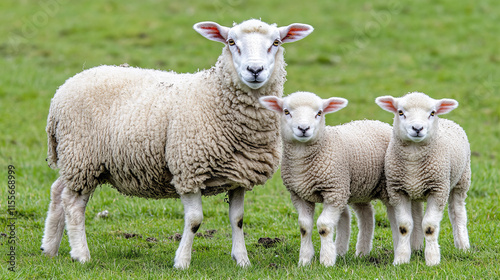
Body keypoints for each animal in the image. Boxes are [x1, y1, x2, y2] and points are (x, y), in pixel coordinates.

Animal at [41, 19, 312, 270]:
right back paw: (81, 254)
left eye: (276, 42)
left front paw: (242, 260)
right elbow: (194, 220)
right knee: (73, 204)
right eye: (231, 42)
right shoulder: (188, 169)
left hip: (75, 159)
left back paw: (50, 248)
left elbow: (238, 219)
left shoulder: (239, 174)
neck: (215, 97)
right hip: (82, 156)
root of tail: (60, 92)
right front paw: (182, 261)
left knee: (57, 191)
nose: (254, 70)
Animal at [262, 92, 398, 266]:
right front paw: (304, 260)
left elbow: (324, 226)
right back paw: (362, 252)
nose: (303, 129)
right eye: (286, 111)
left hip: (382, 187)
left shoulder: (334, 191)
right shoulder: (299, 194)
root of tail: (378, 122)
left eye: (319, 113)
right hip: (357, 187)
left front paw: (326, 260)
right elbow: (304, 227)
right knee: (366, 214)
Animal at [376, 92, 470, 266]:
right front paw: (401, 259)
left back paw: (463, 246)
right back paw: (417, 247)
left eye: (432, 113)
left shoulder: (438, 189)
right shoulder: (397, 191)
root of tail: (447, 120)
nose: (417, 128)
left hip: (461, 181)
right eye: (400, 112)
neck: (413, 161)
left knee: (458, 212)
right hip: (414, 190)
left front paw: (432, 259)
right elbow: (404, 226)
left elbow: (430, 226)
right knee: (417, 214)